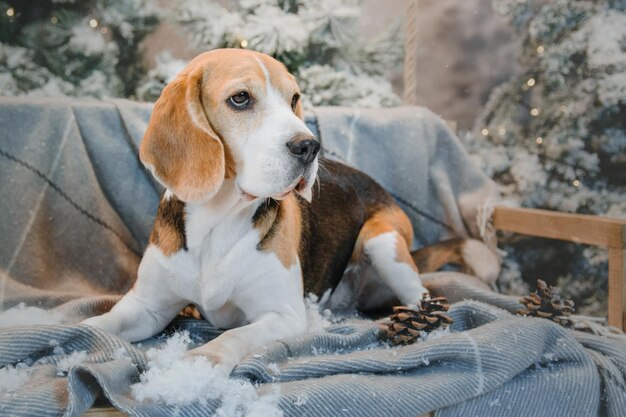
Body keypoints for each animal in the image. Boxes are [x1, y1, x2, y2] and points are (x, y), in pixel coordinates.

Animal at [84, 48, 498, 374]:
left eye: (294, 98)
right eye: (240, 99)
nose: (309, 146)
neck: (218, 223)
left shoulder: (283, 315)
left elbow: (234, 335)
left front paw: (201, 360)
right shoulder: (147, 307)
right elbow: (101, 323)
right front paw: (82, 343)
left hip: (384, 243)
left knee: (422, 298)